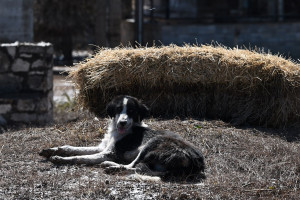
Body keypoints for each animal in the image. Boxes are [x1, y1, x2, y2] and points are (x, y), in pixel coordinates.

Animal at [39, 95, 205, 181]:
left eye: (131, 111)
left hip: (152, 143)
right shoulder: (102, 147)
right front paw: (52, 150)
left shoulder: (110, 153)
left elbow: (80, 157)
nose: (122, 122)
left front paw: (59, 159)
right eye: (118, 109)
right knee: (145, 170)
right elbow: (72, 148)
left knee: (134, 166)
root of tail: (197, 160)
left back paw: (111, 166)